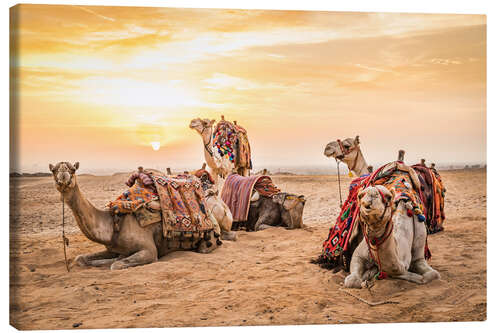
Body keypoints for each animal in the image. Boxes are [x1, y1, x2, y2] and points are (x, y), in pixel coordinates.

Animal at [48, 161, 219, 270]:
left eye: (72, 170)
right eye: (54, 170)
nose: (63, 179)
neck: (113, 223)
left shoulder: (149, 250)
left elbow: (115, 265)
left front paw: (116, 260)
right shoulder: (112, 247)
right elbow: (80, 258)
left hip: (208, 240)